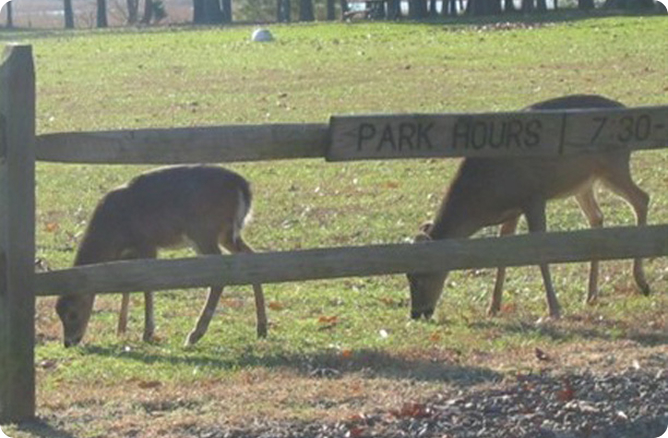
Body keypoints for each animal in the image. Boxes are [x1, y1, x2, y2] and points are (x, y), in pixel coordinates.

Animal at [56, 165, 267, 348]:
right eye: (58, 312)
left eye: (72, 314)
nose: (69, 342)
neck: (112, 233)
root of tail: (243, 187)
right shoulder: (130, 253)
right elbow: (126, 285)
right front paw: (121, 329)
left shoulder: (147, 243)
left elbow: (147, 286)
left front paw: (147, 332)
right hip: (226, 235)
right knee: (252, 257)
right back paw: (262, 327)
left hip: (204, 231)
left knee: (220, 275)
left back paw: (195, 334)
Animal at [407, 94, 651, 321]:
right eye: (408, 275)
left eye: (419, 276)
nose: (416, 313)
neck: (484, 199)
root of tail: (624, 109)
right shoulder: (512, 210)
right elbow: (504, 249)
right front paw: (493, 306)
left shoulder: (533, 197)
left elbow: (539, 251)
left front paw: (554, 308)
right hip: (582, 183)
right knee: (597, 217)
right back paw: (591, 295)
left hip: (613, 165)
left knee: (642, 199)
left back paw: (641, 282)